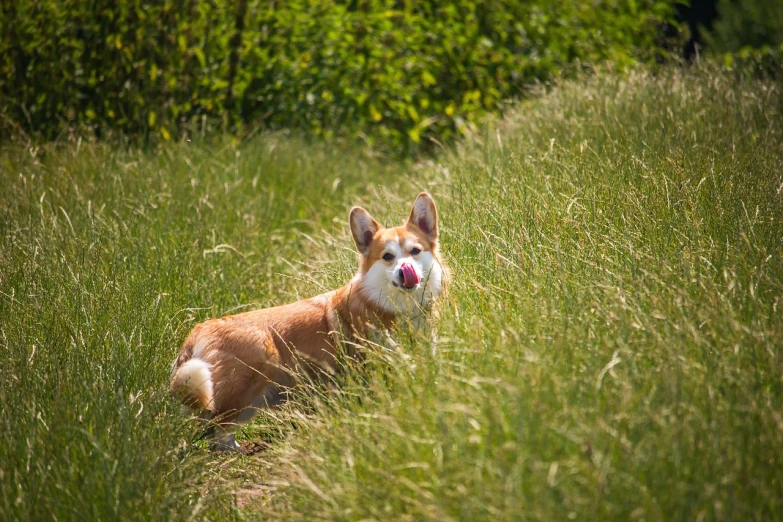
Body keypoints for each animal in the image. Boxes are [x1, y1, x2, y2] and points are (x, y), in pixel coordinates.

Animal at [172, 191, 448, 446]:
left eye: (415, 251)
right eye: (387, 257)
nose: (405, 271)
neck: (396, 306)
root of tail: (196, 332)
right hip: (250, 369)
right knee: (217, 430)